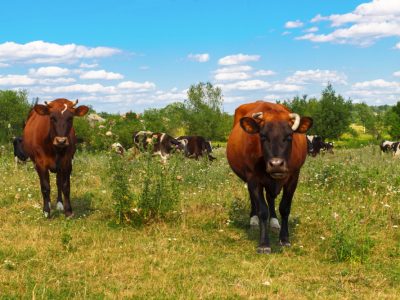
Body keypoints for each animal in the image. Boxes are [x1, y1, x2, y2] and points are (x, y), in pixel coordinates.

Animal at [225, 101, 312, 253]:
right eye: (263, 136)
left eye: (289, 136)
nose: (276, 164)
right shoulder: (253, 179)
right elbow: (262, 210)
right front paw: (264, 244)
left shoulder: (293, 177)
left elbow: (285, 208)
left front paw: (284, 238)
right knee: (254, 198)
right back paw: (253, 219)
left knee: (270, 198)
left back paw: (274, 221)